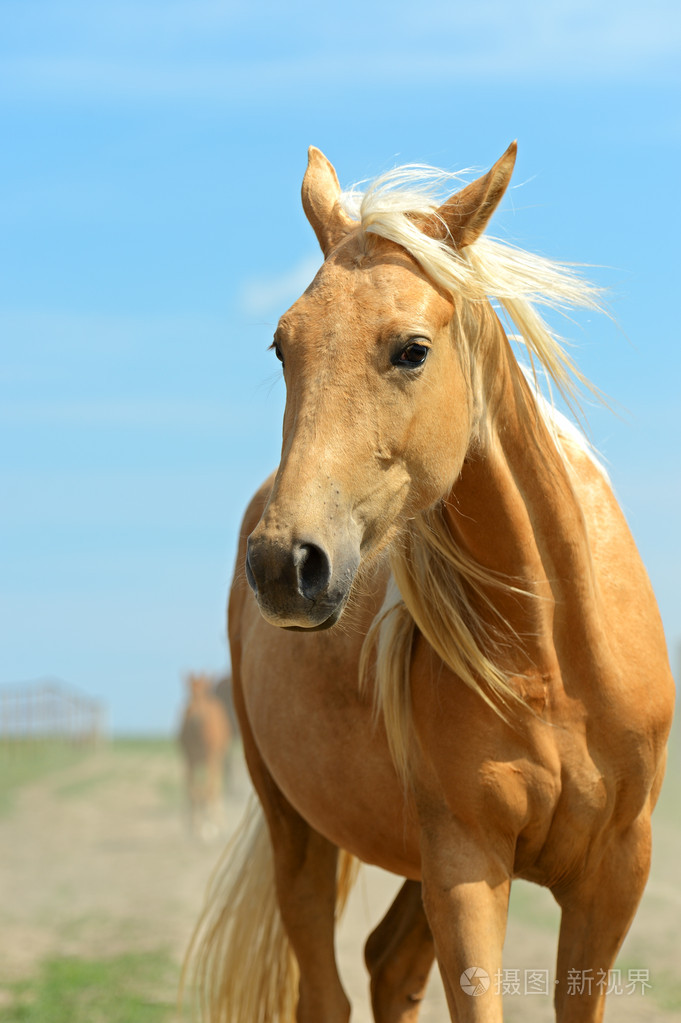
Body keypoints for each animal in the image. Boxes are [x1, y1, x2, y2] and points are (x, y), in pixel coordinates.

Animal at [178, 672, 232, 838]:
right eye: (189, 694)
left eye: (203, 693)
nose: (196, 717)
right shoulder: (189, 759)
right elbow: (192, 792)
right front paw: (193, 827)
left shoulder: (210, 758)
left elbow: (209, 790)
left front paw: (209, 828)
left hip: (216, 759)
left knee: (215, 787)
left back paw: (218, 820)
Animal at [190, 143, 674, 1022]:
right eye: (283, 346)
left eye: (411, 349)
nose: (284, 564)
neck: (553, 658)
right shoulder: (465, 864)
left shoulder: (614, 873)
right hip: (297, 832)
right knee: (328, 986)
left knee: (388, 965)